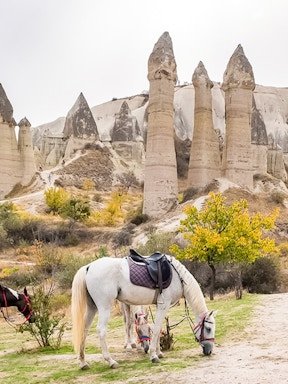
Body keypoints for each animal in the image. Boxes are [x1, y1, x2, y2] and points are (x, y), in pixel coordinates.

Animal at [71, 255, 216, 368]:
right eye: (208, 329)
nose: (209, 351)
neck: (177, 277)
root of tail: (88, 267)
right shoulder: (164, 305)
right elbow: (156, 330)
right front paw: (153, 355)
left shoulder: (159, 306)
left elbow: (156, 328)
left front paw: (159, 352)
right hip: (104, 307)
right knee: (101, 330)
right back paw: (111, 361)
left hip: (92, 307)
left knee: (84, 330)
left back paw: (83, 362)